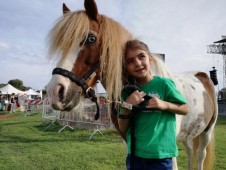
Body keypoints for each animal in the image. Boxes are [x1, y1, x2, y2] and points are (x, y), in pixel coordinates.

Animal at [46, 0, 217, 169]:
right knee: (190, 152)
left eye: (91, 39)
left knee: (200, 155)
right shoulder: (128, 142)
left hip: (207, 132)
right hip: (189, 134)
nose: (55, 91)